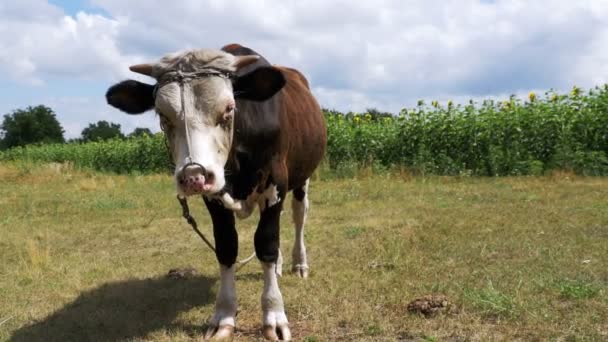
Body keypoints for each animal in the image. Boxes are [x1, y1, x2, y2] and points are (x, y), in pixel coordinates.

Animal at [107, 44, 330, 340]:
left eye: (228, 109)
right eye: (163, 116)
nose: (194, 176)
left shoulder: (276, 184)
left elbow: (266, 244)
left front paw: (274, 314)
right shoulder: (214, 197)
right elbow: (227, 247)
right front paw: (224, 315)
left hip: (301, 179)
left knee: (298, 218)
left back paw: (299, 264)